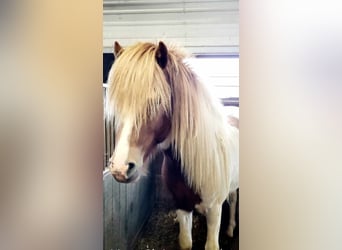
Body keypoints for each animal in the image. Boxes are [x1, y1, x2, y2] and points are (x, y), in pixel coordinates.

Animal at [107, 41, 238, 250]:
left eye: (157, 101)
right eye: (117, 104)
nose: (120, 168)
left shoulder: (215, 209)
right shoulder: (182, 206)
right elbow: (185, 242)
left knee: (233, 200)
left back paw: (231, 228)